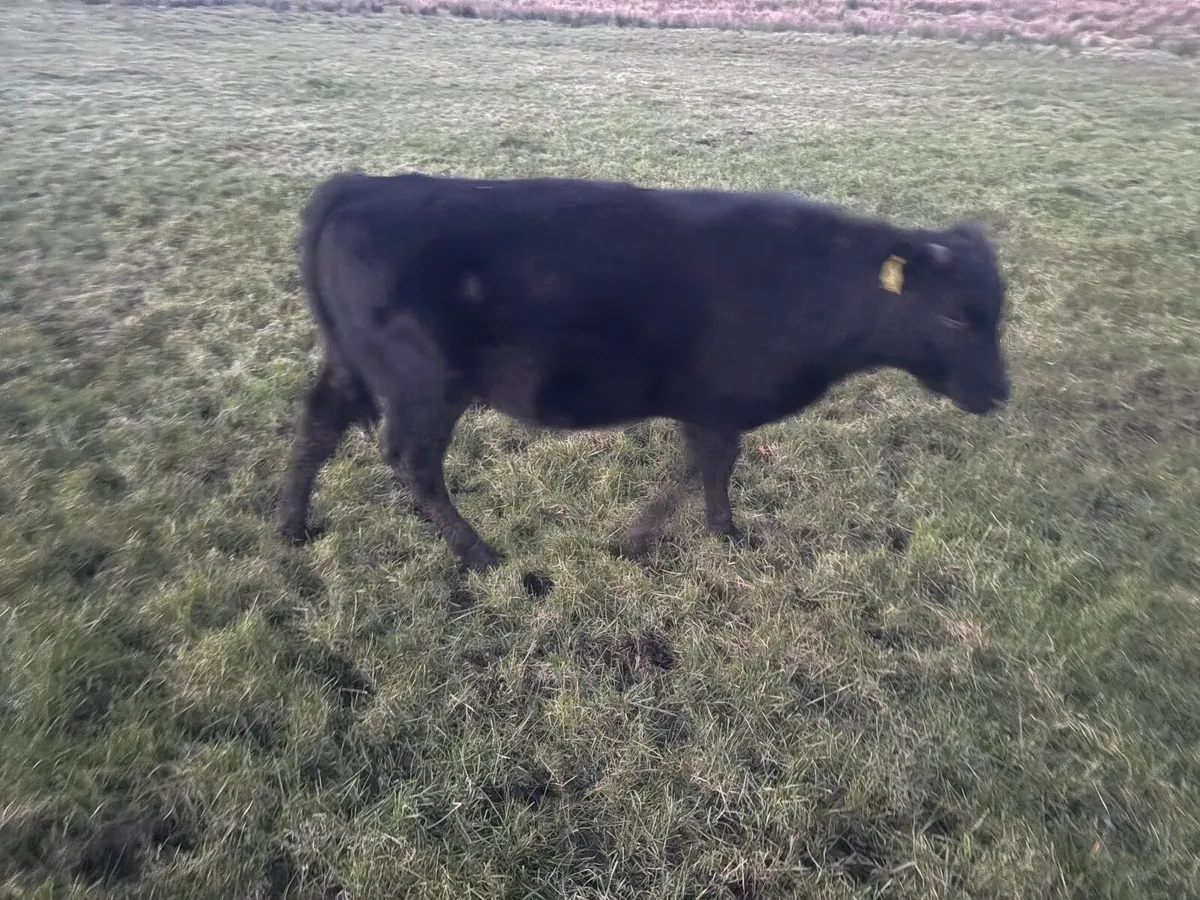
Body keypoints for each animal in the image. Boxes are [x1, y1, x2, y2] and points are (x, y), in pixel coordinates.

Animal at [276, 171, 1011, 572]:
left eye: (999, 309)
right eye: (955, 318)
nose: (999, 394)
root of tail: (359, 186)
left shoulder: (710, 405)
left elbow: (703, 467)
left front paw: (702, 531)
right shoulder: (720, 402)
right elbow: (705, 469)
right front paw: (673, 535)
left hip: (349, 366)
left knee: (316, 428)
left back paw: (291, 527)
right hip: (425, 386)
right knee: (413, 462)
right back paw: (478, 553)